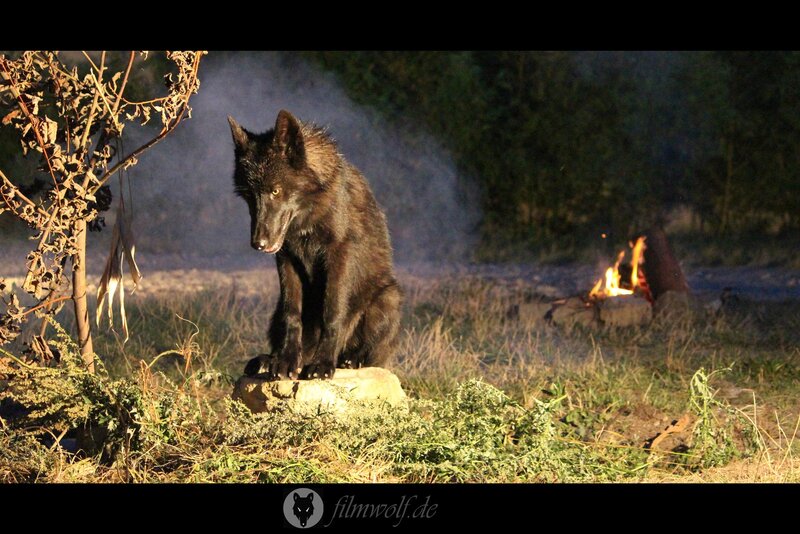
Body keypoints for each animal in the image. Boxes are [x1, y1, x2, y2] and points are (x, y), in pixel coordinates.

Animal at [228, 110, 402, 380]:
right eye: (249, 195)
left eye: (275, 191)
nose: (259, 244)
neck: (308, 217)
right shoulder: (286, 258)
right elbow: (293, 314)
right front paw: (285, 361)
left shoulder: (338, 254)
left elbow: (333, 311)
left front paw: (322, 364)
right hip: (275, 314)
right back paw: (271, 359)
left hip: (388, 297)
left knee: (371, 354)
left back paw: (349, 360)